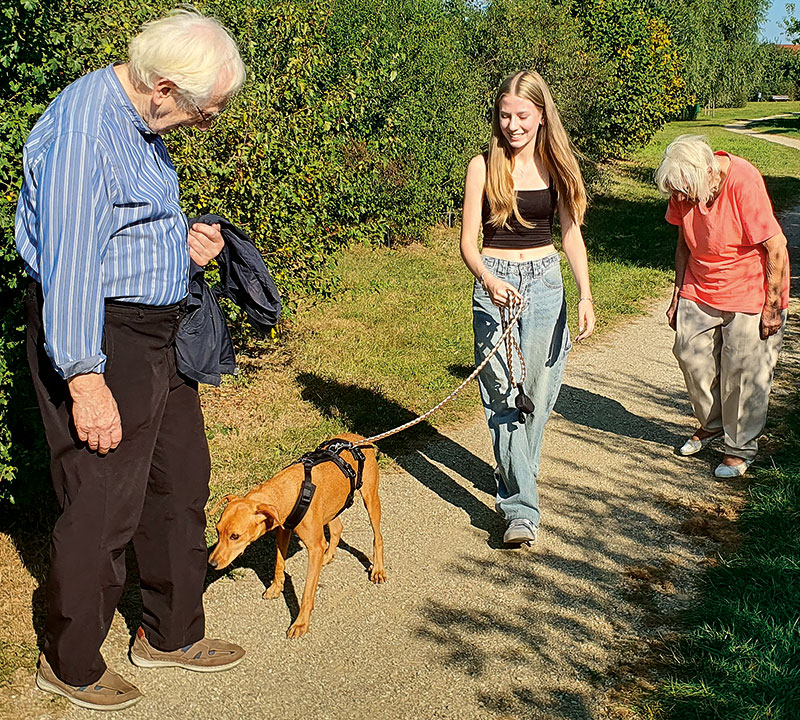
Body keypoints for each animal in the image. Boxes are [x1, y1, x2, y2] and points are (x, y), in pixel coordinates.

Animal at [208, 434, 386, 636]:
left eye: (235, 536)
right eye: (217, 531)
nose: (211, 563)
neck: (287, 491)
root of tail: (358, 438)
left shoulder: (314, 547)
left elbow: (308, 591)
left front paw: (301, 623)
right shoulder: (283, 531)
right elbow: (279, 563)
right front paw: (276, 588)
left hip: (370, 498)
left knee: (377, 536)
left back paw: (378, 570)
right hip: (331, 507)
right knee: (337, 528)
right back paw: (328, 556)